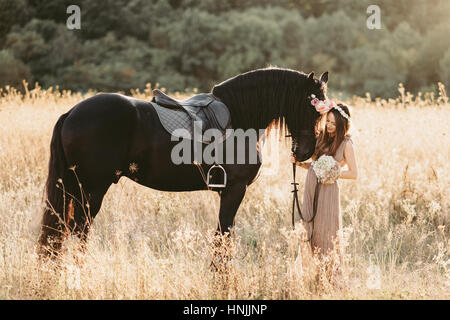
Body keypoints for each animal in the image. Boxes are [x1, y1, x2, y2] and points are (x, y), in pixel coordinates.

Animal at [37, 67, 326, 255]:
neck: (241, 117)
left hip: (74, 187)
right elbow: (223, 238)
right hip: (92, 189)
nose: (305, 152)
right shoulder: (234, 190)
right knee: (79, 231)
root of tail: (72, 112)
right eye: (313, 107)